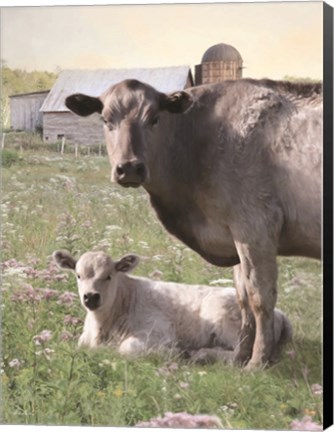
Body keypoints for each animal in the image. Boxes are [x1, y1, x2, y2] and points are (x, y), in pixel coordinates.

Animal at [64, 78, 322, 368]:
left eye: (154, 118)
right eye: (106, 119)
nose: (129, 168)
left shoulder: (256, 226)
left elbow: (260, 298)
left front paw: (256, 363)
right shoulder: (234, 235)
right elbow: (243, 298)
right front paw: (238, 359)